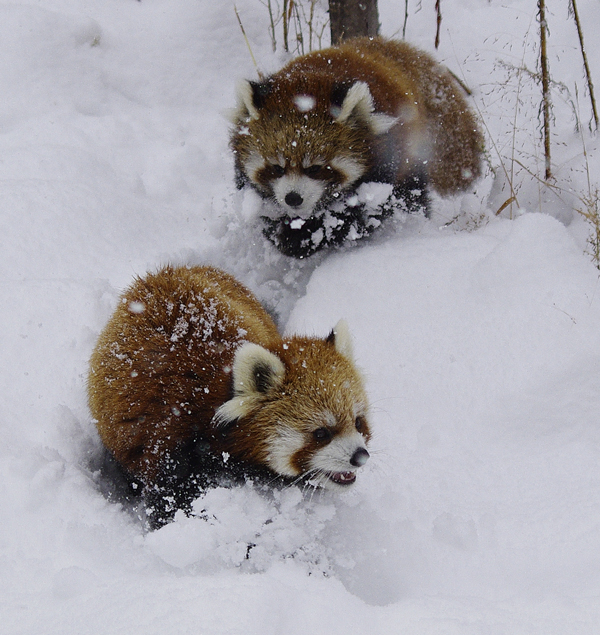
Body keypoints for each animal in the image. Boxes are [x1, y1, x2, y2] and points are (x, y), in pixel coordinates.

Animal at [230, 34, 482, 258]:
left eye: (315, 168)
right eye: (276, 167)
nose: (293, 198)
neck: (311, 79)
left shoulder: (385, 167)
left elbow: (360, 215)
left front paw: (304, 238)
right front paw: (283, 232)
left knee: (413, 196)